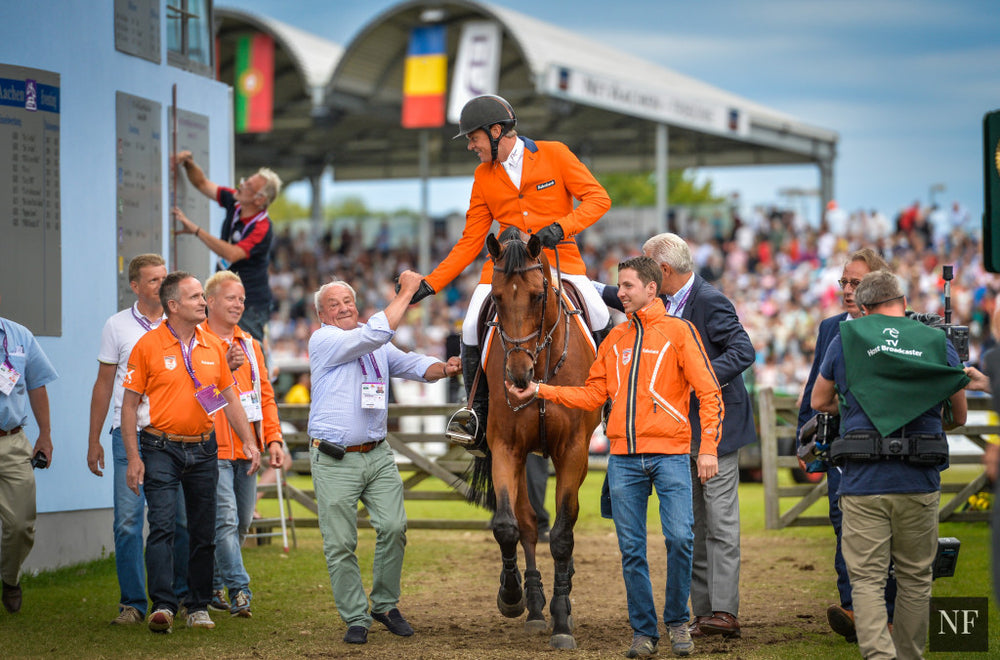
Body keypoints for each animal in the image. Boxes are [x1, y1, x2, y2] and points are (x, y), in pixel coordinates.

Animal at [467, 227, 602, 650]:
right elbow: (509, 526)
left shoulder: (572, 452)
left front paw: (562, 619)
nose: (517, 375)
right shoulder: (506, 449)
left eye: (537, 296)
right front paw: (513, 596)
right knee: (526, 523)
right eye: (496, 298)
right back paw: (536, 605)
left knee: (564, 520)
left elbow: (562, 534)